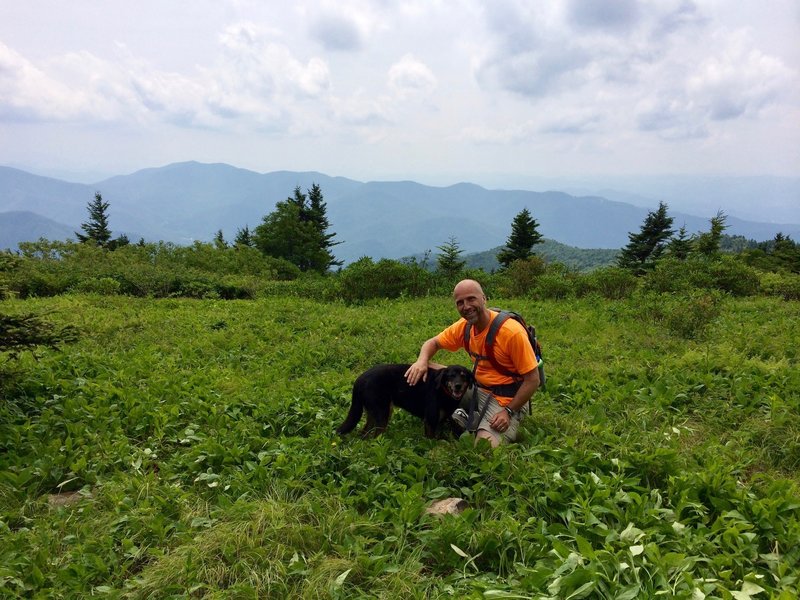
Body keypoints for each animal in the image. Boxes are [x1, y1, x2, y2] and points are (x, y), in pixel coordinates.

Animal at [334, 364, 472, 438]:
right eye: (451, 376)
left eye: (463, 375)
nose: (458, 386)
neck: (443, 390)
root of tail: (360, 379)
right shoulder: (430, 420)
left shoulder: (440, 421)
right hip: (382, 413)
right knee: (375, 435)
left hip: (376, 411)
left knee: (365, 432)